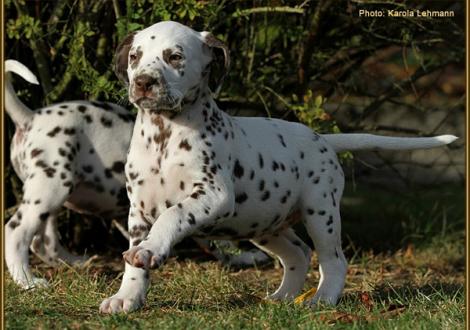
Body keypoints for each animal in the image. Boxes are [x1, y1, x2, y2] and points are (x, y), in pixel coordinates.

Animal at [3, 59, 268, 288]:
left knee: (43, 242)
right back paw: (27, 281)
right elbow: (217, 241)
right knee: (16, 231)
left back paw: (75, 262)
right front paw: (247, 256)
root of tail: (29, 117)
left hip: (51, 196)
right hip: (50, 187)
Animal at [98, 21, 456, 314]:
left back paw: (321, 300)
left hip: (321, 213)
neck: (164, 135)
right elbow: (135, 263)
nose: (143, 82)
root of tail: (323, 138)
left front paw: (151, 250)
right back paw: (282, 297)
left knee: (333, 261)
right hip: (264, 223)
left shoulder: (214, 194)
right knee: (298, 254)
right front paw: (126, 297)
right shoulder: (138, 211)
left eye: (174, 57)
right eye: (135, 57)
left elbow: (173, 215)